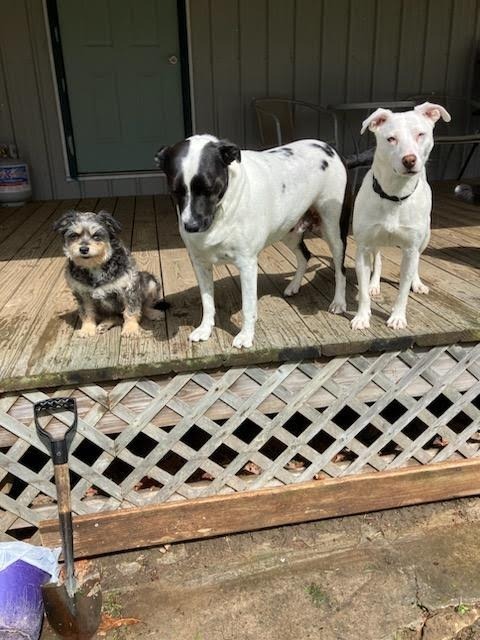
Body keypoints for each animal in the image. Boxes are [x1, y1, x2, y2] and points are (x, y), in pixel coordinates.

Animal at [52, 211, 168, 340]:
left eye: (96, 235)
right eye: (74, 236)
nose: (83, 249)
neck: (95, 266)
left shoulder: (129, 289)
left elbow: (131, 311)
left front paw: (130, 329)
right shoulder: (82, 294)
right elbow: (87, 313)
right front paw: (87, 329)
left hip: (150, 283)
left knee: (143, 307)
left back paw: (154, 313)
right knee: (113, 317)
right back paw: (104, 325)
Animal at [158, 132, 348, 348]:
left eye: (209, 188)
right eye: (175, 191)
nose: (191, 226)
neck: (222, 211)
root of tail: (328, 147)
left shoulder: (247, 264)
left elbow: (248, 306)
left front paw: (246, 336)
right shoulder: (200, 264)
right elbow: (207, 302)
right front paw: (205, 329)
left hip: (333, 230)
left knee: (340, 269)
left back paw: (339, 302)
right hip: (289, 231)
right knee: (305, 256)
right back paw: (294, 286)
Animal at [352, 101, 450, 330]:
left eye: (421, 134)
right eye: (391, 139)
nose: (409, 160)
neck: (393, 194)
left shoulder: (410, 249)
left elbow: (403, 290)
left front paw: (397, 317)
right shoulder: (362, 248)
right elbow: (363, 290)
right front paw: (362, 317)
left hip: (425, 238)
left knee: (417, 263)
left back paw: (417, 283)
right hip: (375, 243)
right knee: (378, 261)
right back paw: (374, 284)